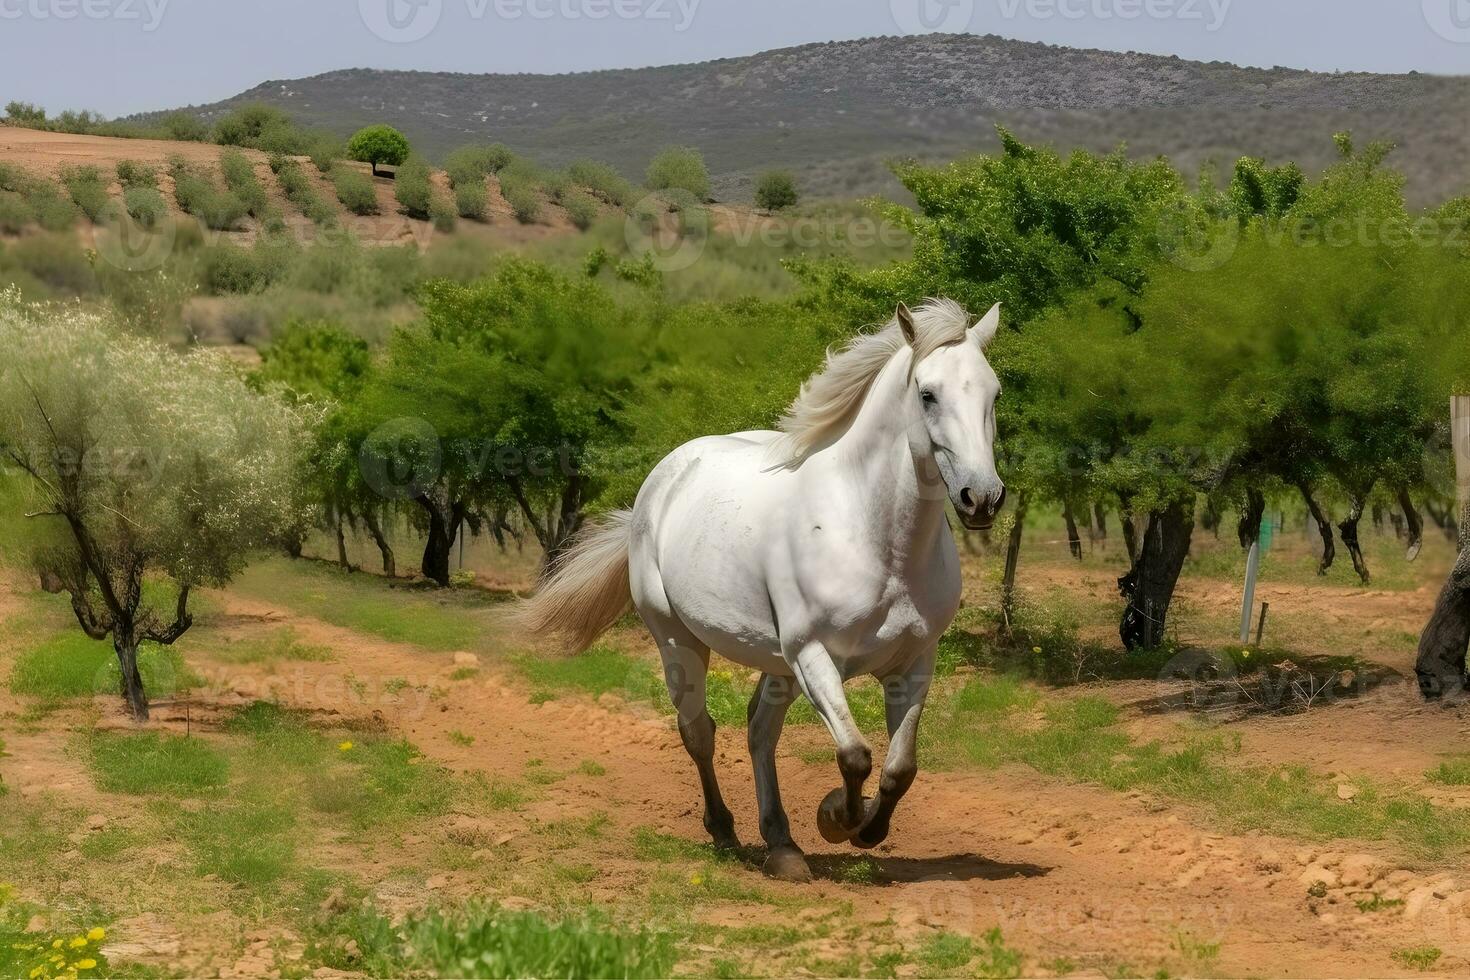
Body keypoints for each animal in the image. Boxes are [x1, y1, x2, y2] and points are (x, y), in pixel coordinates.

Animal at [523, 299, 1005, 881]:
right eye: (928, 393)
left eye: (994, 393)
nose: (982, 497)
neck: (876, 538)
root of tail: (658, 485)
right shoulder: (814, 654)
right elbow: (855, 756)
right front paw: (836, 818)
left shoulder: (915, 662)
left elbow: (899, 768)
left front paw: (865, 829)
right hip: (681, 640)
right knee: (699, 731)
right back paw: (726, 832)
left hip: (779, 665)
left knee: (759, 731)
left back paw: (782, 845)